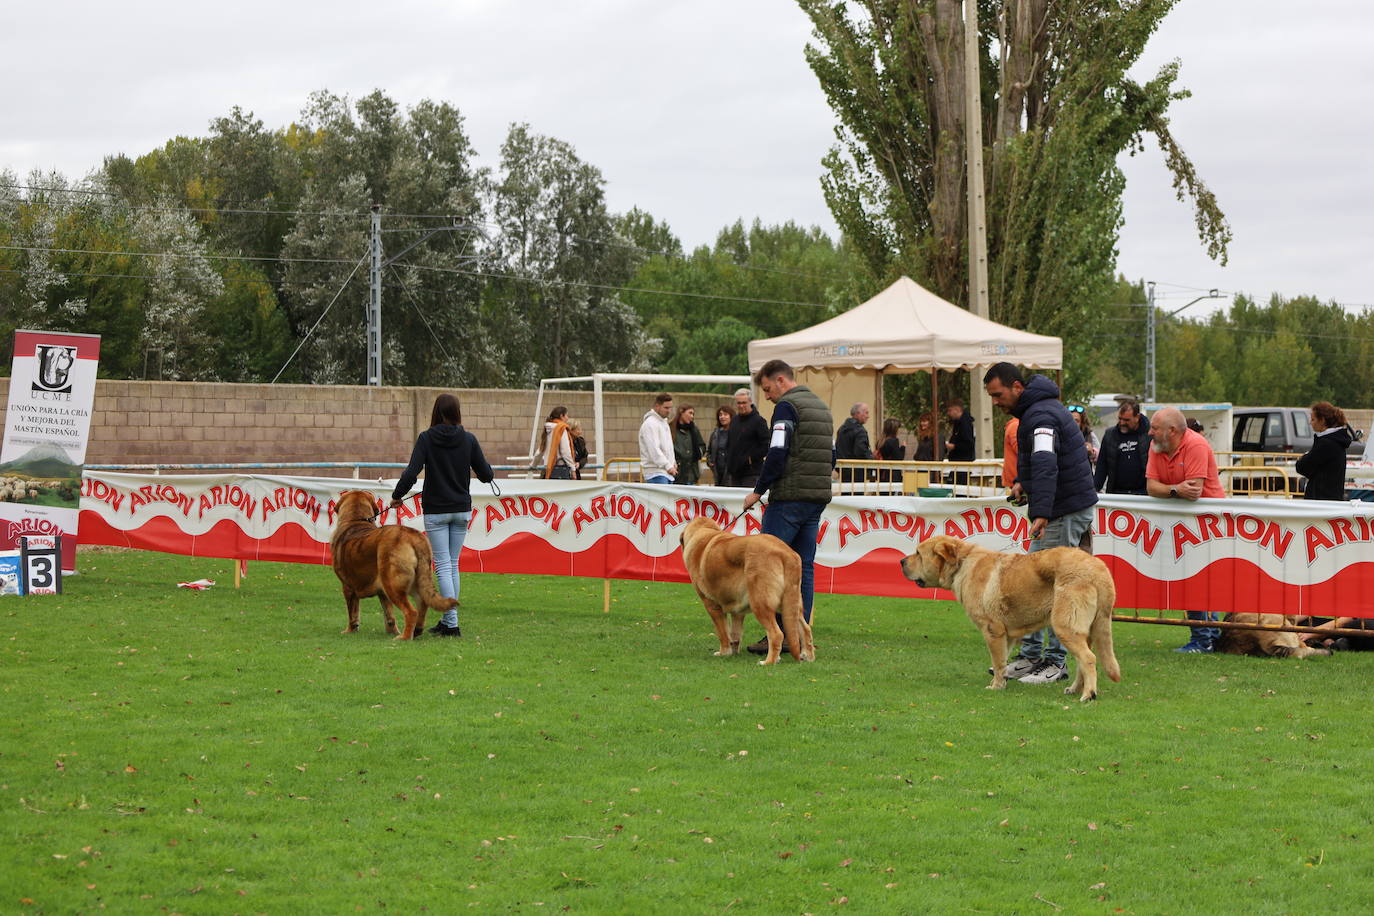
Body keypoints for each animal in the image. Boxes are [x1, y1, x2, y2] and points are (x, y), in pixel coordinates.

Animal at [329, 491, 458, 642]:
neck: (356, 520)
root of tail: (412, 535)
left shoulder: (347, 587)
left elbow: (353, 613)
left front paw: (349, 630)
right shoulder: (382, 592)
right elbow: (389, 615)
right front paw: (391, 630)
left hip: (393, 584)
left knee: (411, 611)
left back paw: (404, 637)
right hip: (416, 580)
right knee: (423, 604)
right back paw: (416, 631)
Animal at [678, 516, 807, 667]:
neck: (704, 532)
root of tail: (786, 553)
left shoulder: (712, 606)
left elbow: (723, 633)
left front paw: (724, 652)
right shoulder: (737, 610)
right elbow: (735, 634)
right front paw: (733, 652)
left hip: (761, 604)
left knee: (776, 634)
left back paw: (768, 661)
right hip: (791, 605)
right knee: (805, 629)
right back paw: (807, 656)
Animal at [901, 532, 1115, 708]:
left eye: (918, 553)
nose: (902, 561)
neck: (962, 564)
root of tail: (1098, 570)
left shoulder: (992, 631)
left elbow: (997, 662)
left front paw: (996, 686)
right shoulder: (1007, 635)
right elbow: (1002, 662)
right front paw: (1001, 681)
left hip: (1064, 627)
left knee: (1088, 659)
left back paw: (1088, 694)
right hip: (1084, 631)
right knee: (1082, 662)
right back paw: (1075, 689)